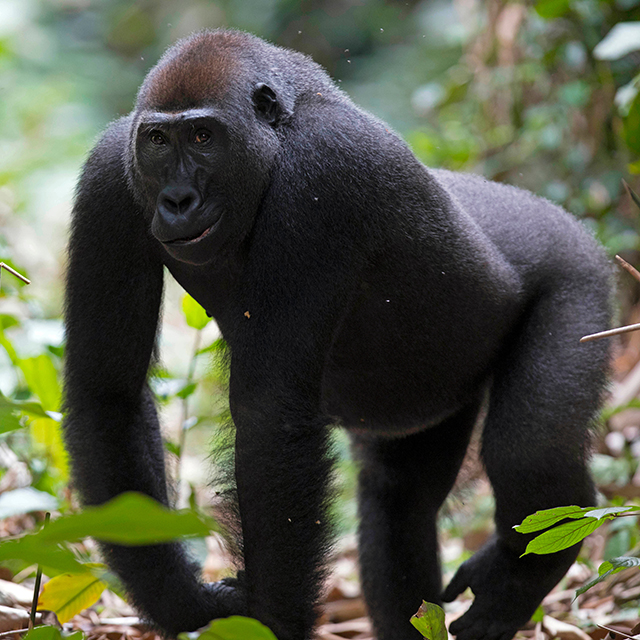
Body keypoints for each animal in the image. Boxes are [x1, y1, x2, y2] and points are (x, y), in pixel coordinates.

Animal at [62, 30, 612, 640]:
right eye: (157, 141)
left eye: (204, 137)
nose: (177, 200)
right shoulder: (111, 173)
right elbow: (107, 392)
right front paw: (181, 599)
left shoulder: (322, 171)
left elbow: (271, 416)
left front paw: (271, 622)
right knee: (399, 494)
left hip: (579, 277)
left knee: (527, 456)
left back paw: (525, 570)